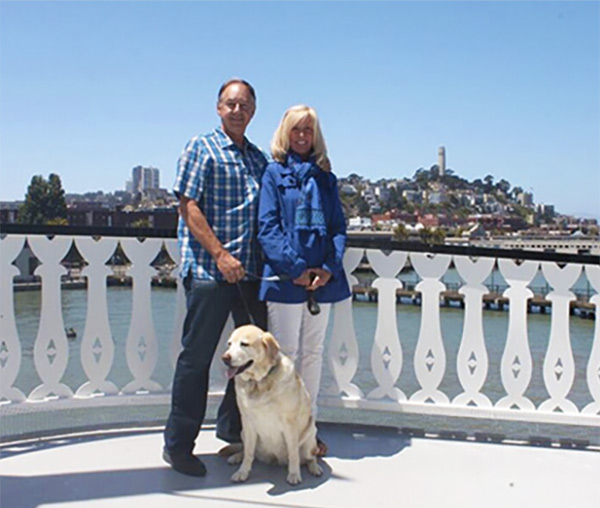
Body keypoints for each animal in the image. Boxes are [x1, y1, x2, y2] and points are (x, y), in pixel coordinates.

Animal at [221, 326, 324, 484]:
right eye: (229, 344)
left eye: (244, 344)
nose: (225, 358)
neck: (259, 382)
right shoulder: (248, 421)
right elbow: (248, 453)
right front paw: (242, 472)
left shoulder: (289, 423)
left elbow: (293, 453)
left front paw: (294, 474)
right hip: (243, 432)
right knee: (246, 450)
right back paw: (236, 456)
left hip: (310, 437)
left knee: (310, 457)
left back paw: (315, 468)